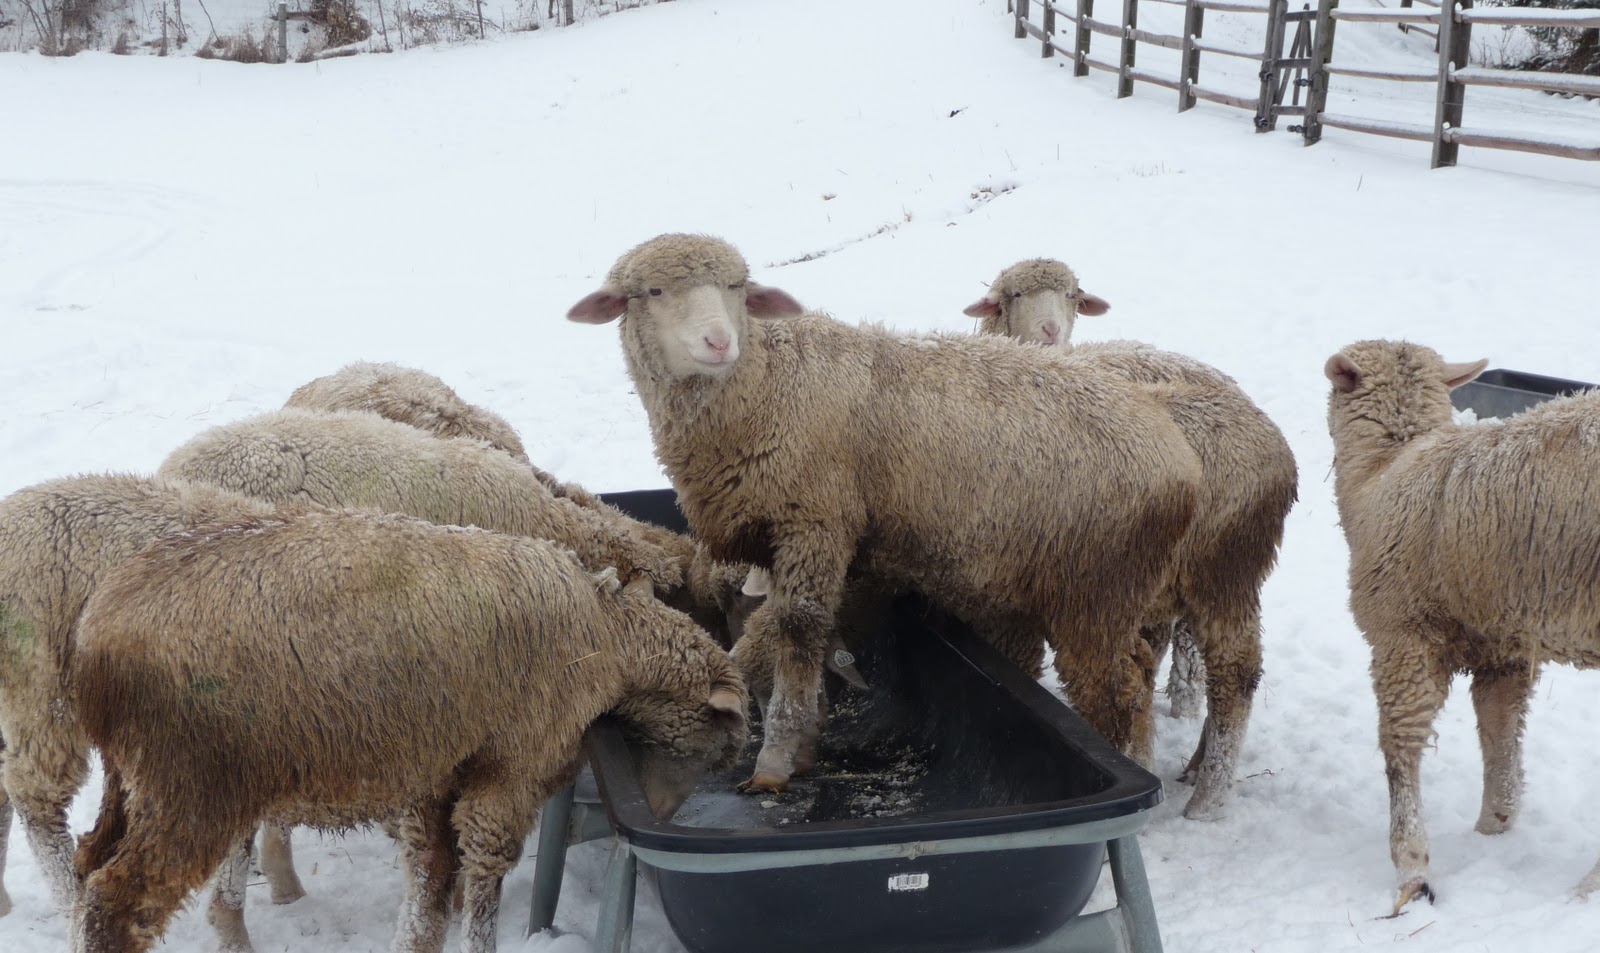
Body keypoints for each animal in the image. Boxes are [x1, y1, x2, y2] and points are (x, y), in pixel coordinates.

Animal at [70, 508, 748, 953]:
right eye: (716, 750)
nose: (659, 816)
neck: (605, 634)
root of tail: (94, 636)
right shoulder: (515, 765)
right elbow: (482, 868)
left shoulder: (437, 768)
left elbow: (429, 884)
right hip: (192, 784)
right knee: (117, 904)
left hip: (156, 781)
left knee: (89, 862)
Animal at [563, 235, 1203, 793]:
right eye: (653, 292)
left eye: (737, 287)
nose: (719, 342)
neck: (767, 384)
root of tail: (1176, 450)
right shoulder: (779, 536)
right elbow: (796, 632)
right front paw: (805, 744)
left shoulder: (815, 521)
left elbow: (799, 630)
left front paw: (774, 763)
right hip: (1104, 590)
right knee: (1136, 669)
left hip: (1096, 588)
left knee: (1118, 691)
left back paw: (1133, 772)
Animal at [1324, 338, 1600, 914]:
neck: (1382, 473)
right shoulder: (1503, 643)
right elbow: (1498, 733)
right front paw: (1494, 827)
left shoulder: (1402, 633)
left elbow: (1399, 747)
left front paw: (1411, 868)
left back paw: (1585, 890)